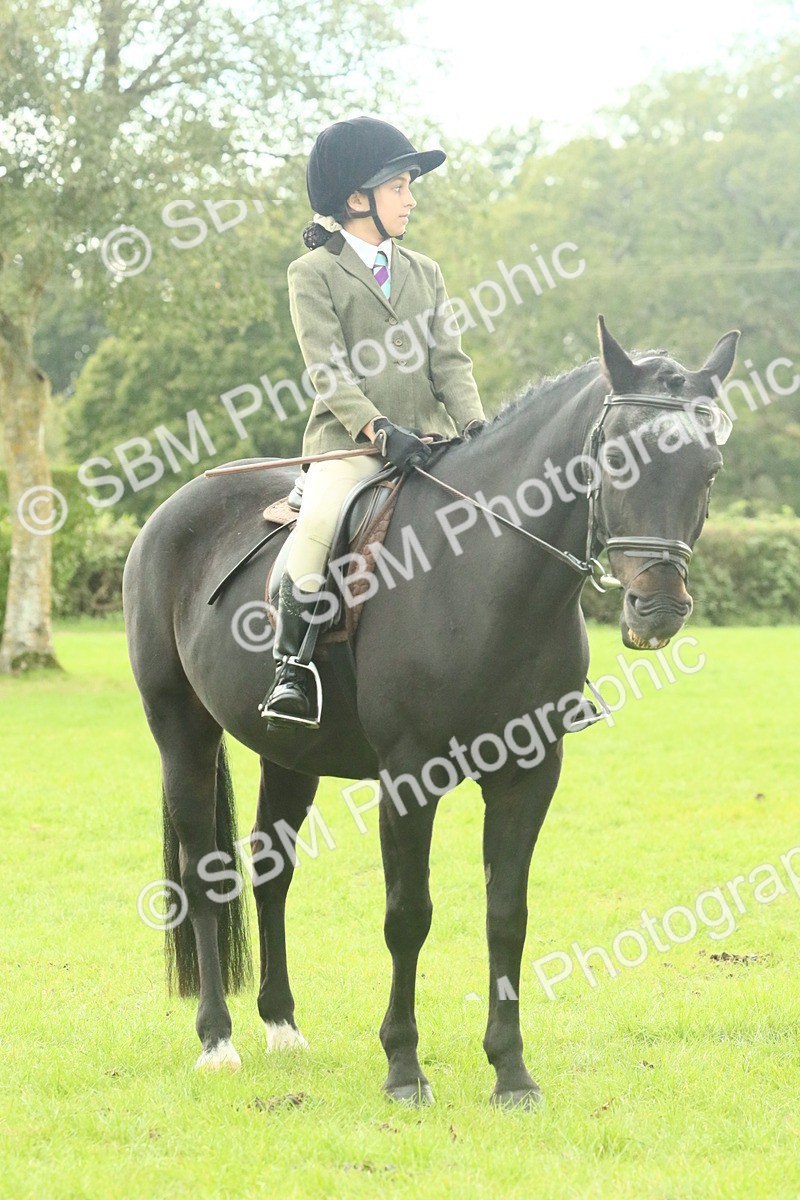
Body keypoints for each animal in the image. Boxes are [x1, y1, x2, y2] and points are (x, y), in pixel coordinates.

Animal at [122, 317, 739, 1107]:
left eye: (709, 468)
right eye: (614, 460)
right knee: (205, 871)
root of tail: (167, 515)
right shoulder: (410, 776)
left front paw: (511, 1073)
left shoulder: (529, 774)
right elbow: (407, 916)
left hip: (290, 753)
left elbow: (506, 914)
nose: (657, 608)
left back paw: (282, 1027)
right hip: (181, 732)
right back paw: (217, 1040)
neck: (482, 573)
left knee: (270, 870)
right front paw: (404, 1068)